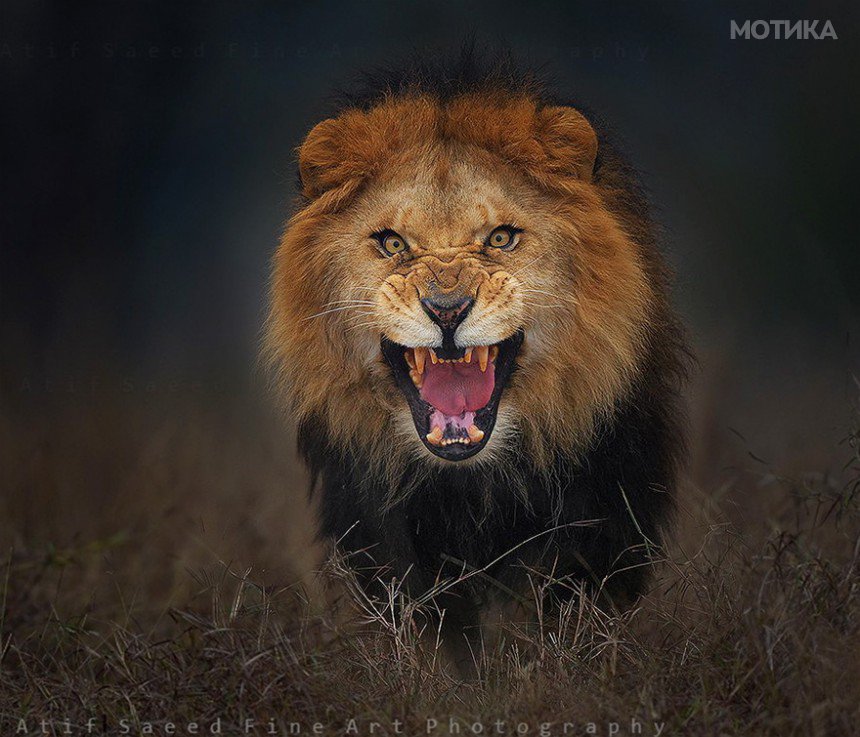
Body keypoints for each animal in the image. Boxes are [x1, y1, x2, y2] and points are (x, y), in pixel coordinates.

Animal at [266, 54, 688, 668]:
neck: (472, 486)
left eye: (502, 238)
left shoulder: (602, 520)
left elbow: (560, 622)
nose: (447, 309)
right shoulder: (384, 537)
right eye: (393, 244)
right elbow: (436, 638)